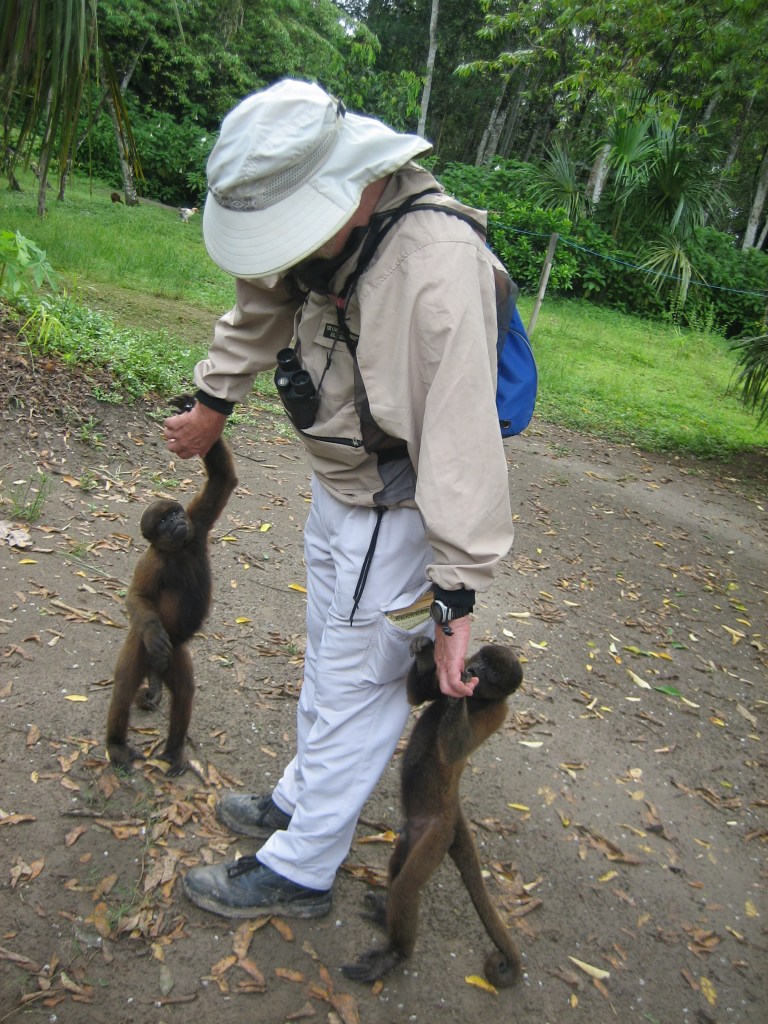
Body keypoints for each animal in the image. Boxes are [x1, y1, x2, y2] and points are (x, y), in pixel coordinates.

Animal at [105, 396, 237, 776]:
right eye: (163, 521)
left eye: (176, 513)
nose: (176, 521)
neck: (177, 550)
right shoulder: (153, 562)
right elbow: (137, 596)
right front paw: (153, 630)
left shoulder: (197, 524)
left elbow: (223, 478)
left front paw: (189, 407)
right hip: (140, 648)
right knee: (124, 689)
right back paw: (116, 745)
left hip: (176, 655)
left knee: (184, 694)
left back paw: (174, 749)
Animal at [342, 636, 524, 987]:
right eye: (482, 659)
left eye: (492, 673)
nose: (473, 669)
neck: (479, 701)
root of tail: (453, 811)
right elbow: (417, 695)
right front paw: (428, 654)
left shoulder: (498, 713)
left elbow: (454, 749)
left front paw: (457, 689)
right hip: (414, 832)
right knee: (398, 863)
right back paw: (385, 915)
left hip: (436, 836)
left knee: (407, 886)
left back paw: (396, 952)